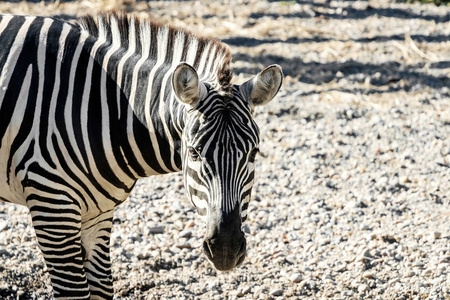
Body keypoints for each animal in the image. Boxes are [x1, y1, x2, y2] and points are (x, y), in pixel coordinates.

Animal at [0, 11, 282, 298]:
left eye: (253, 153)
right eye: (194, 152)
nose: (226, 250)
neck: (103, 110)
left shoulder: (97, 213)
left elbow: (102, 287)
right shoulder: (51, 203)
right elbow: (74, 291)